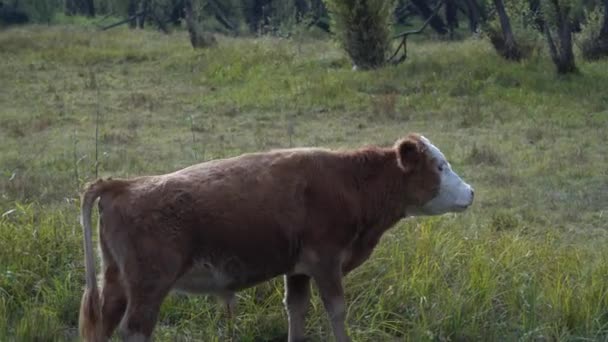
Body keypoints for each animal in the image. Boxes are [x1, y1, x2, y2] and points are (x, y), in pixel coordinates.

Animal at [77, 133, 476, 342]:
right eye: (440, 166)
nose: (471, 192)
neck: (350, 182)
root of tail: (123, 185)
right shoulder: (326, 262)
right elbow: (336, 310)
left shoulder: (297, 270)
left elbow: (296, 310)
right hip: (149, 287)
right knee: (134, 330)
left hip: (117, 283)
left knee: (104, 326)